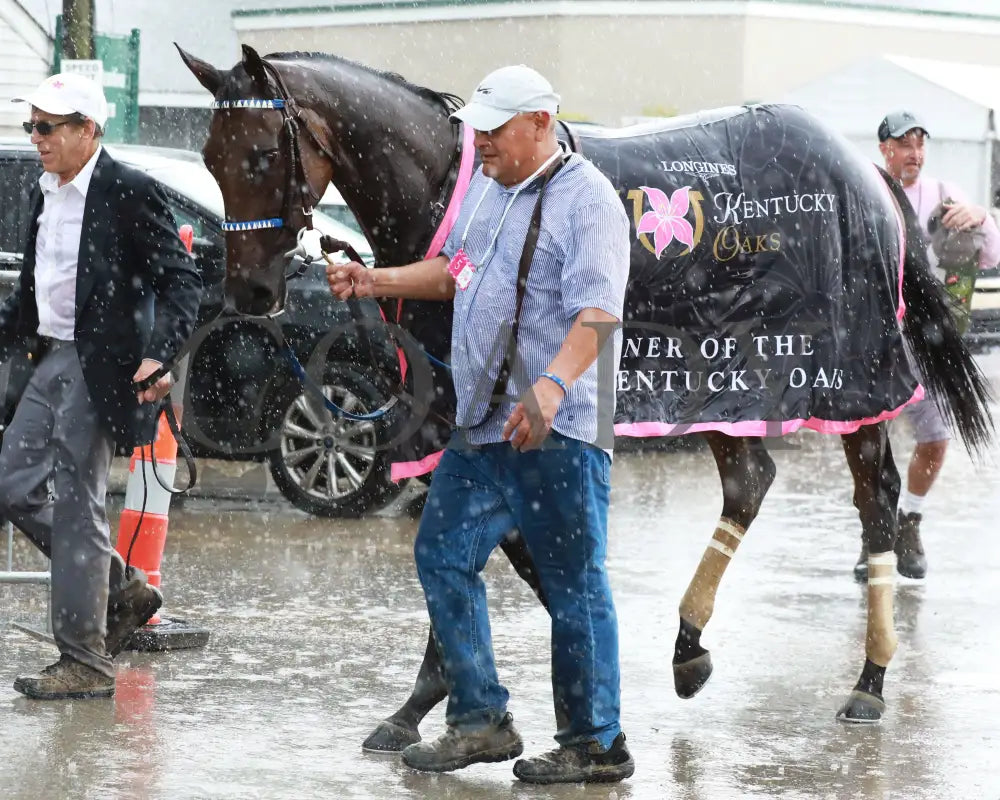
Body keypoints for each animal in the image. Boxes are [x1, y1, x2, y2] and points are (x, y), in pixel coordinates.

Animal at [174, 43, 992, 744]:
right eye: (210, 157)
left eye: (260, 154)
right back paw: (690, 646)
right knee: (751, 481)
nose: (250, 291)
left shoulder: (481, 407)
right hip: (719, 382)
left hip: (844, 379)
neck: (456, 188)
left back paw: (870, 678)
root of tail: (867, 171)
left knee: (875, 495)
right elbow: (484, 539)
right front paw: (434, 701)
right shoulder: (455, 412)